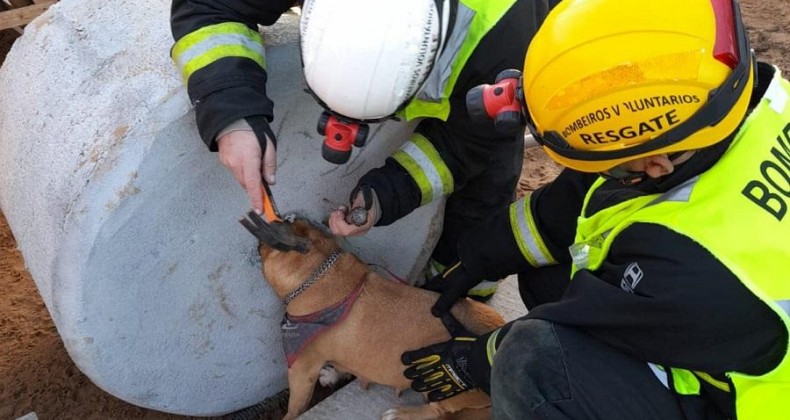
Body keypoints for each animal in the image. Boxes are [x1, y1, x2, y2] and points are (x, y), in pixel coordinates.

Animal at [238, 213, 508, 420]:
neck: (319, 273)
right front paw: (334, 374)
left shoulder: (302, 368)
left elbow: (295, 405)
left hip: (441, 386)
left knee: (437, 411)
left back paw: (402, 414)